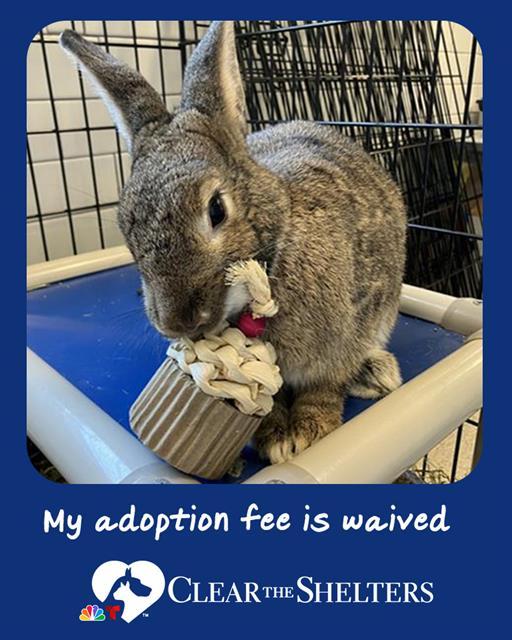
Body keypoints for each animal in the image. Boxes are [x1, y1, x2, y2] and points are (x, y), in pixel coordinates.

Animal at [60, 22, 406, 465]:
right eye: (126, 225)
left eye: (216, 209)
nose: (177, 322)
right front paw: (274, 434)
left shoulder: (351, 325)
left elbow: (326, 384)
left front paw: (310, 431)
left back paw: (376, 373)